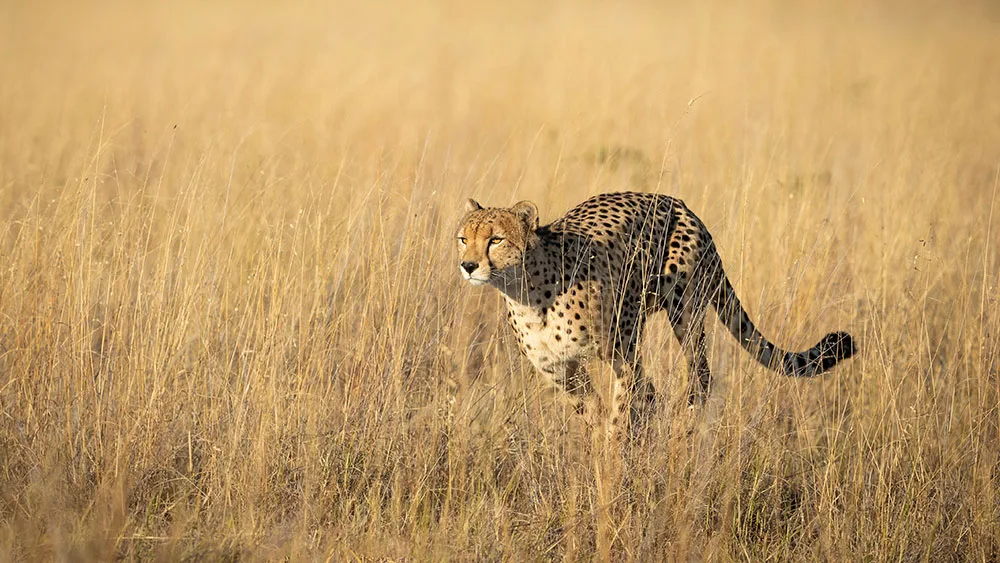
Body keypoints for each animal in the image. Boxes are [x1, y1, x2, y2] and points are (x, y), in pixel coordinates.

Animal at [458, 194, 856, 440]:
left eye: (495, 240)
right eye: (463, 238)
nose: (468, 265)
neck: (527, 292)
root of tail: (680, 204)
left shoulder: (621, 353)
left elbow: (618, 416)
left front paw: (613, 474)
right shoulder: (559, 370)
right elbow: (596, 413)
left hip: (683, 308)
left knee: (699, 377)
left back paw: (684, 429)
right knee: (654, 394)